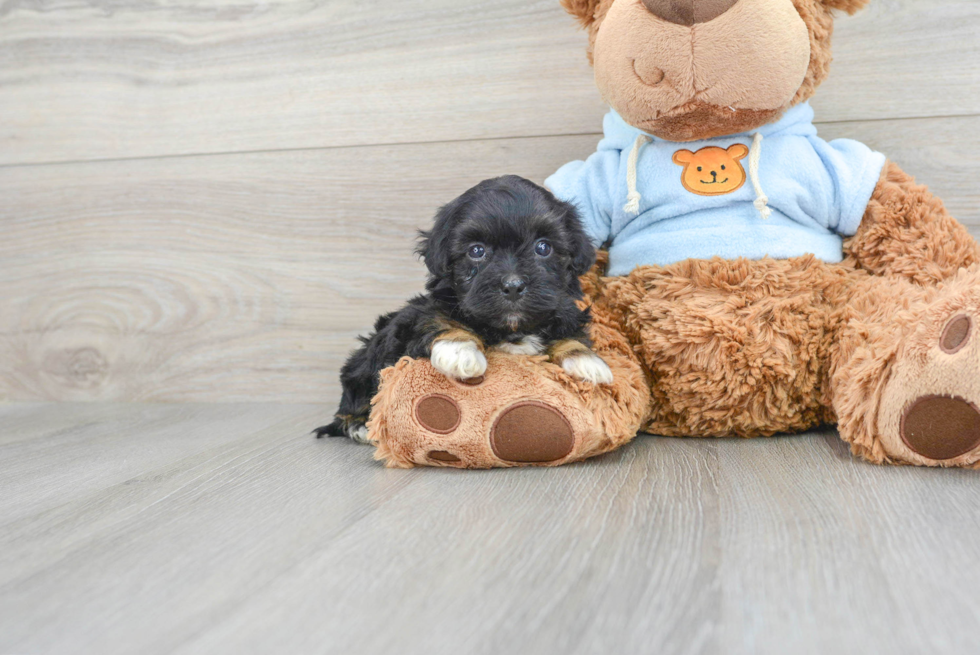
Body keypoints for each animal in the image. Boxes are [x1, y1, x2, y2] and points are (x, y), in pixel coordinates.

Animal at [318, 176, 612, 440]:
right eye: (476, 251)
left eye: (543, 247)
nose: (513, 285)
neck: (511, 328)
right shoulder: (420, 314)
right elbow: (439, 319)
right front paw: (460, 351)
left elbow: (569, 331)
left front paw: (585, 360)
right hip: (363, 365)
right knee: (350, 400)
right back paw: (359, 426)